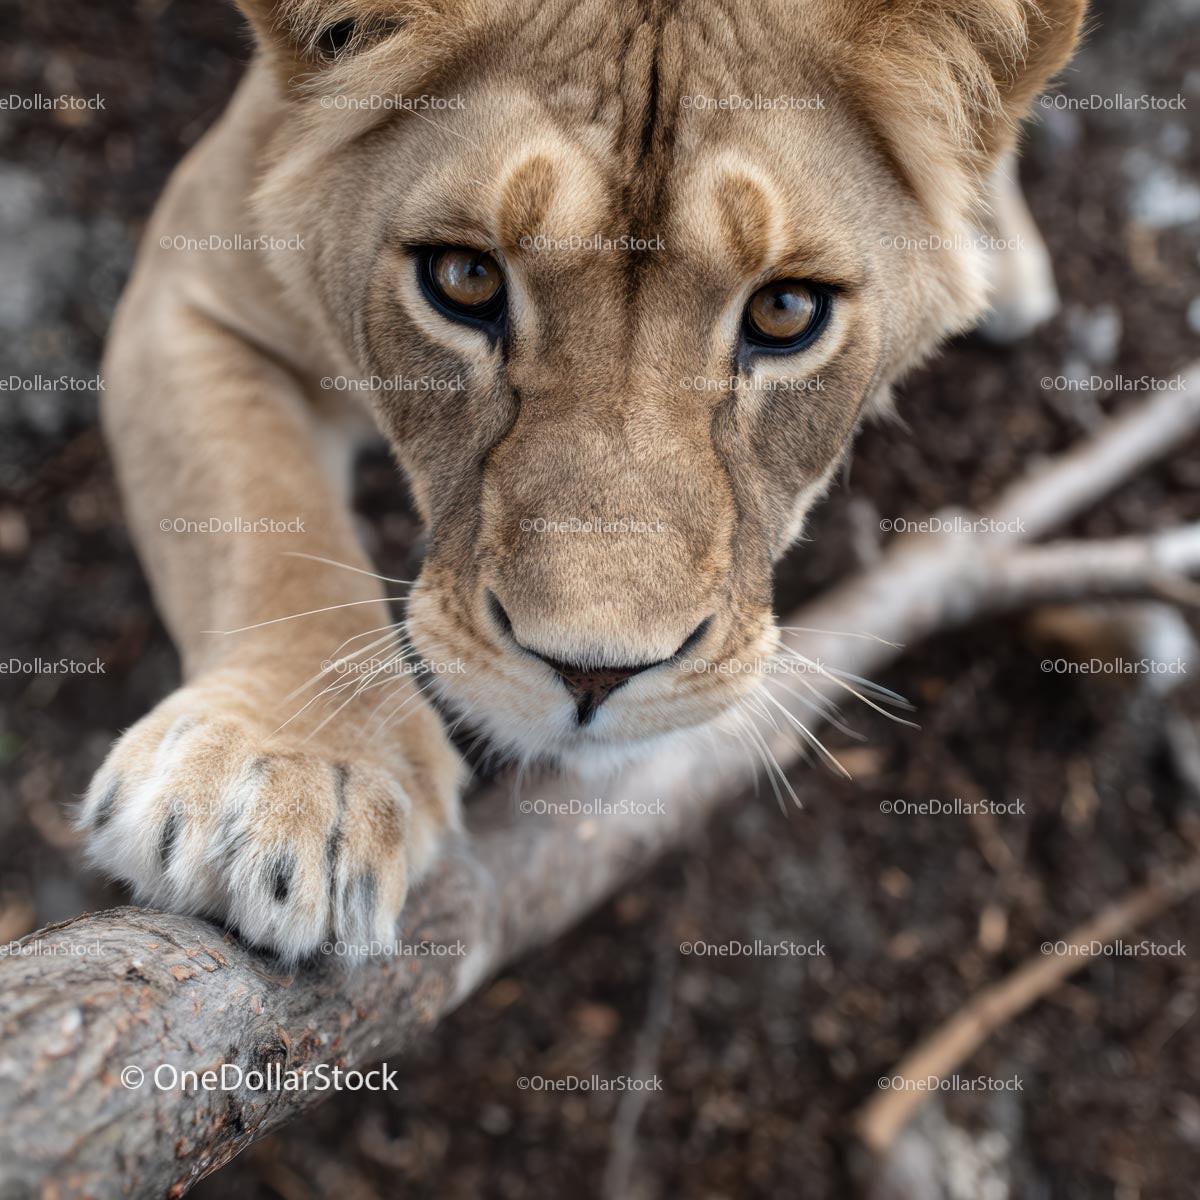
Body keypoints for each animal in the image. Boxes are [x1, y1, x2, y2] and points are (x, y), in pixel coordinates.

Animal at [82, 0, 1087, 959]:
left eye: (786, 310)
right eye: (464, 278)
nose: (592, 675)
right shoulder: (191, 290)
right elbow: (268, 523)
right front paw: (289, 773)